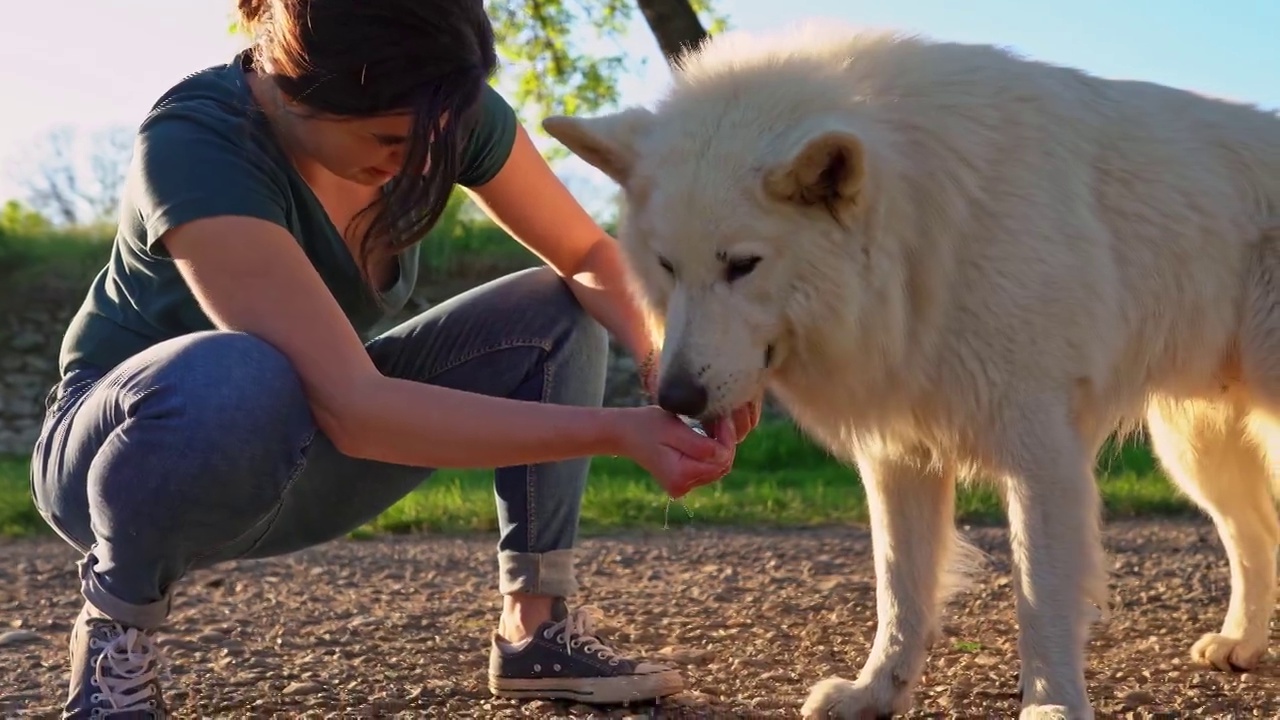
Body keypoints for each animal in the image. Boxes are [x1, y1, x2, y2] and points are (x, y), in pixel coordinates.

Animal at [542, 22, 1280, 717]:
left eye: (743, 265)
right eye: (667, 265)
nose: (675, 397)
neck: (921, 236)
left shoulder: (1041, 454)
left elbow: (1039, 593)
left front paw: (1051, 702)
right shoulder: (900, 454)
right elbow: (900, 589)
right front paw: (875, 694)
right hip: (1195, 454)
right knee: (1253, 536)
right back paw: (1239, 644)